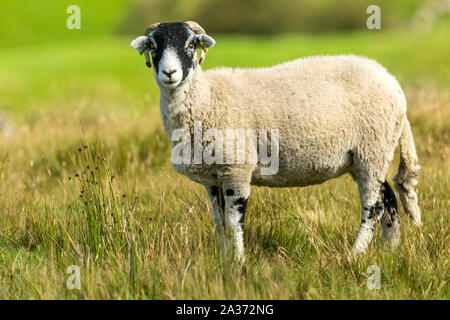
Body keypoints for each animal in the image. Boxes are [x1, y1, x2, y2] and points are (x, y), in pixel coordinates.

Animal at [130, 21, 422, 262]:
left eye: (191, 44)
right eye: (153, 46)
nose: (170, 73)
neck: (207, 98)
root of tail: (393, 84)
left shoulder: (236, 169)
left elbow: (234, 221)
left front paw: (239, 263)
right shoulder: (213, 178)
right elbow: (219, 222)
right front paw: (224, 260)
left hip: (372, 147)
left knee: (373, 207)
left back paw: (354, 255)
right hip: (363, 158)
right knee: (389, 198)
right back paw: (391, 249)